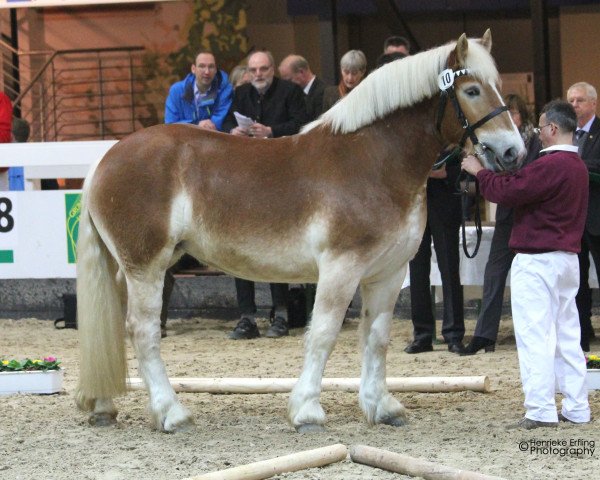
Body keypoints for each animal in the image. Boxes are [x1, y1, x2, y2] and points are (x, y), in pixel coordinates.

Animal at [75, 31, 524, 434]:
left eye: (499, 88)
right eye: (471, 90)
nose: (512, 152)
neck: (373, 160)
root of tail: (105, 160)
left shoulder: (387, 274)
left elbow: (376, 337)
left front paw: (381, 407)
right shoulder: (341, 268)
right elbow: (323, 334)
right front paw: (307, 411)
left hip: (128, 270)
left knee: (111, 327)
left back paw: (103, 406)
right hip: (146, 268)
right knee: (143, 331)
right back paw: (172, 413)